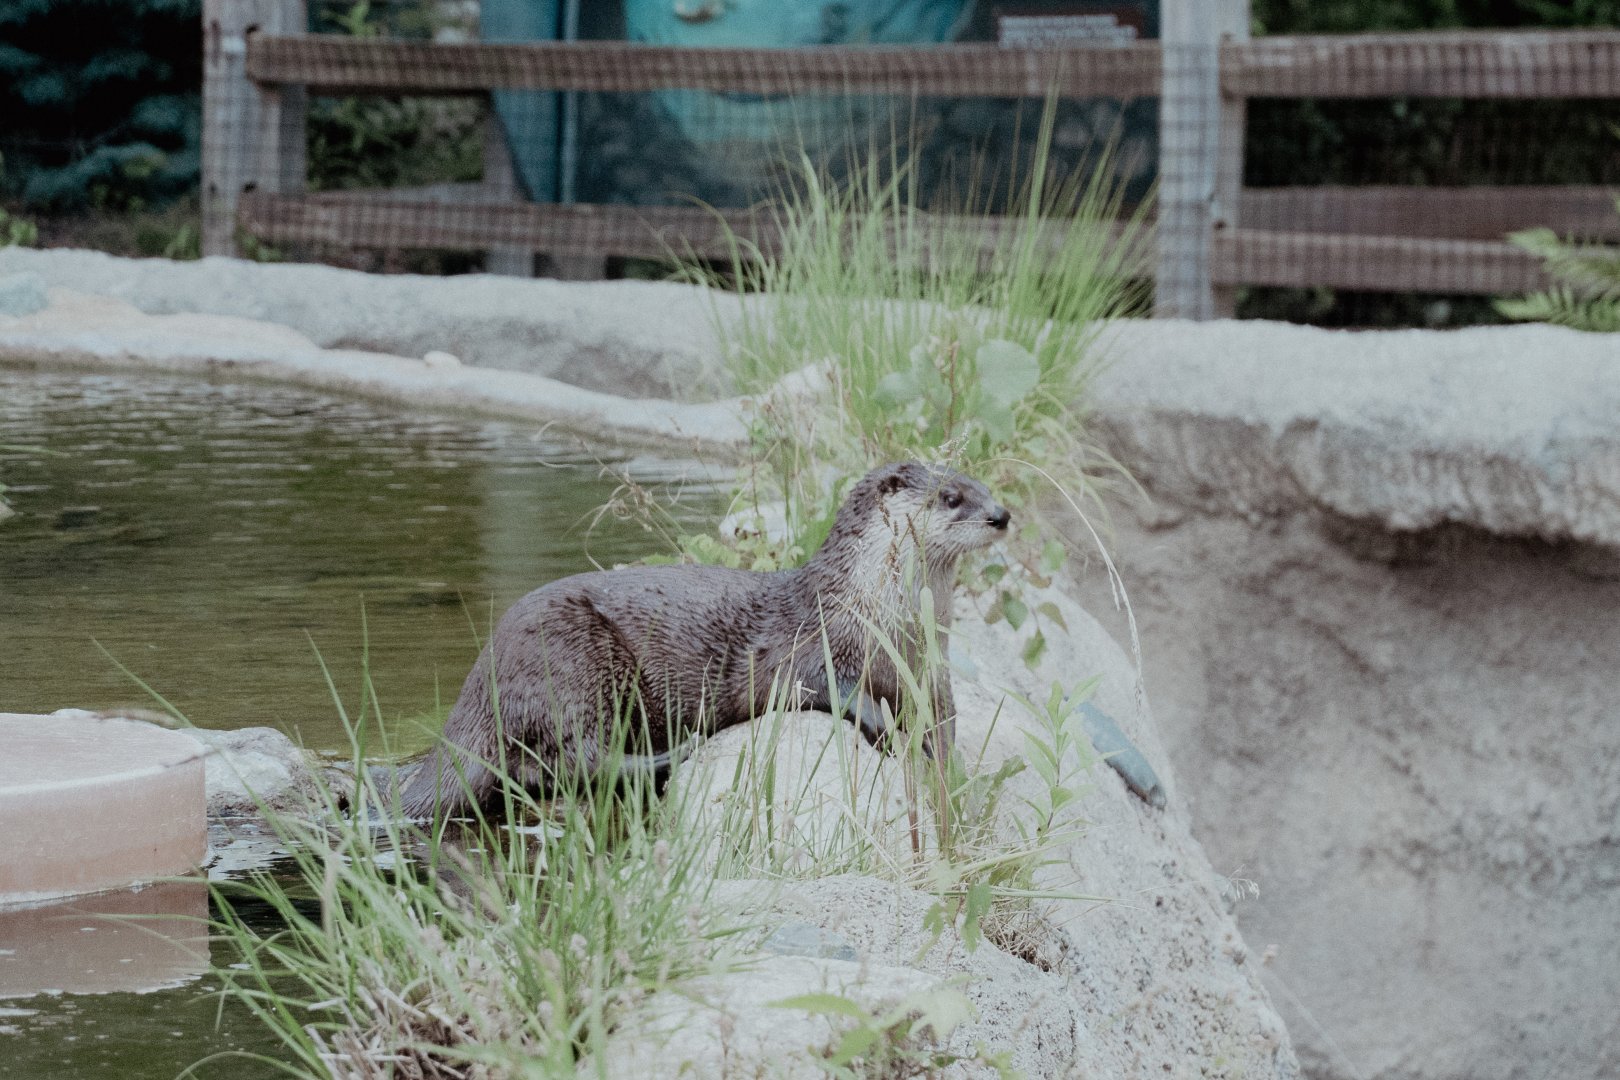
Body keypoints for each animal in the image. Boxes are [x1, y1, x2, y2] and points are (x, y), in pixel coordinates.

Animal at [398, 461, 1010, 820]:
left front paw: (948, 766)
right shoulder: (816, 641)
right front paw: (890, 729)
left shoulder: (931, 671)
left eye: (986, 488)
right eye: (952, 497)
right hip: (573, 658)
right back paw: (673, 752)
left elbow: (947, 722)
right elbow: (825, 687)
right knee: (570, 759)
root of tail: (477, 687)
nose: (1001, 515)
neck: (885, 619)